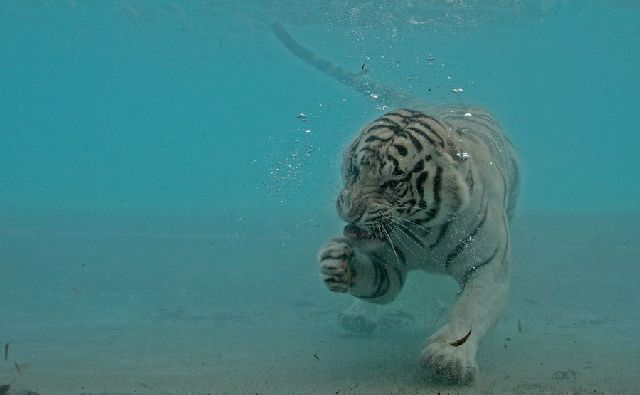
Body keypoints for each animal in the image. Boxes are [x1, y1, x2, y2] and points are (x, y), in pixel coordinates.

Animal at [272, 22, 520, 384]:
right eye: (356, 170)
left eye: (392, 183)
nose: (350, 211)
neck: (425, 231)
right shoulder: (388, 263)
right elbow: (375, 281)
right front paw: (337, 261)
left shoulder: (488, 268)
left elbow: (471, 310)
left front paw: (448, 358)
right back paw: (357, 316)